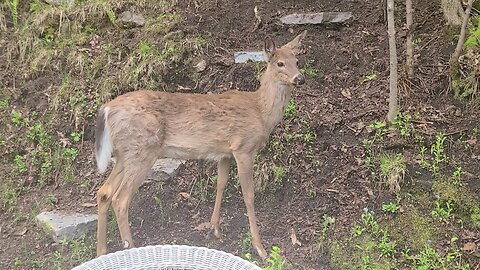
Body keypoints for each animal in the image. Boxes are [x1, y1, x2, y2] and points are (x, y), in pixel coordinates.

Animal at [94, 30, 308, 258]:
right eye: (280, 63)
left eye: (297, 61)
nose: (300, 78)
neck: (261, 111)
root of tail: (106, 109)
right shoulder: (244, 148)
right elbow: (249, 195)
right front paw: (260, 247)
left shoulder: (225, 153)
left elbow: (221, 184)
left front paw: (214, 228)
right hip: (142, 150)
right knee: (120, 199)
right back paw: (130, 247)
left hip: (124, 153)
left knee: (104, 192)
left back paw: (101, 252)